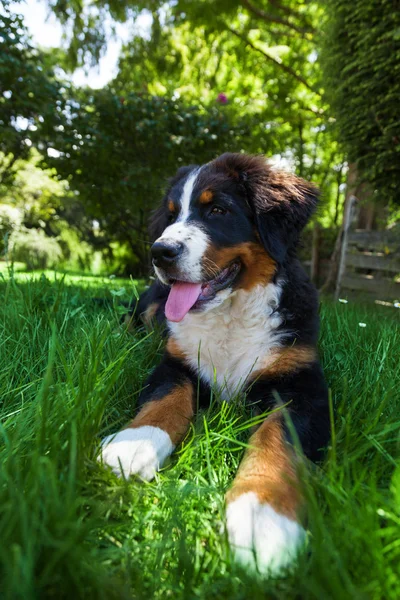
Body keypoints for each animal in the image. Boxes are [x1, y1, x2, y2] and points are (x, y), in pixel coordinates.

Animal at [101, 154, 330, 576]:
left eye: (218, 210)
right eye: (172, 215)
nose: (160, 252)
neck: (231, 313)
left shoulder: (301, 385)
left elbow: (278, 439)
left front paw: (262, 516)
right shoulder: (176, 362)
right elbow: (165, 400)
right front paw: (134, 444)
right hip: (151, 304)